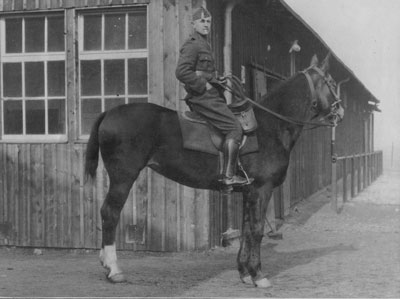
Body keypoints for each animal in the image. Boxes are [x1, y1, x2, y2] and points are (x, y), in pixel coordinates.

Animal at [84, 53, 344, 288]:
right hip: (123, 177)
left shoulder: (249, 192)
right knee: (110, 213)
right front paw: (258, 275)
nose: (341, 113)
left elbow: (247, 229)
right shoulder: (261, 189)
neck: (271, 126)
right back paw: (114, 269)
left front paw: (244, 272)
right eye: (331, 83)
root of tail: (109, 112)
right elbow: (257, 230)